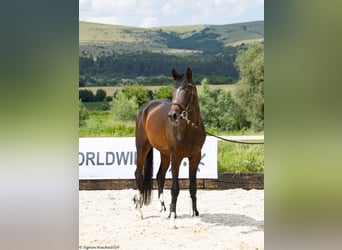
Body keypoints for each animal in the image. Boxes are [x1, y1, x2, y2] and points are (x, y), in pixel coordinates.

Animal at [134, 67, 206, 226]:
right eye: (174, 90)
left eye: (186, 90)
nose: (173, 115)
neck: (189, 129)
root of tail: (146, 108)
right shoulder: (176, 157)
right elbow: (175, 188)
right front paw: (173, 218)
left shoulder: (195, 157)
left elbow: (193, 187)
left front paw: (194, 216)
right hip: (142, 149)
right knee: (138, 174)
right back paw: (140, 211)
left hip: (165, 154)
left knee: (159, 176)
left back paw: (163, 209)